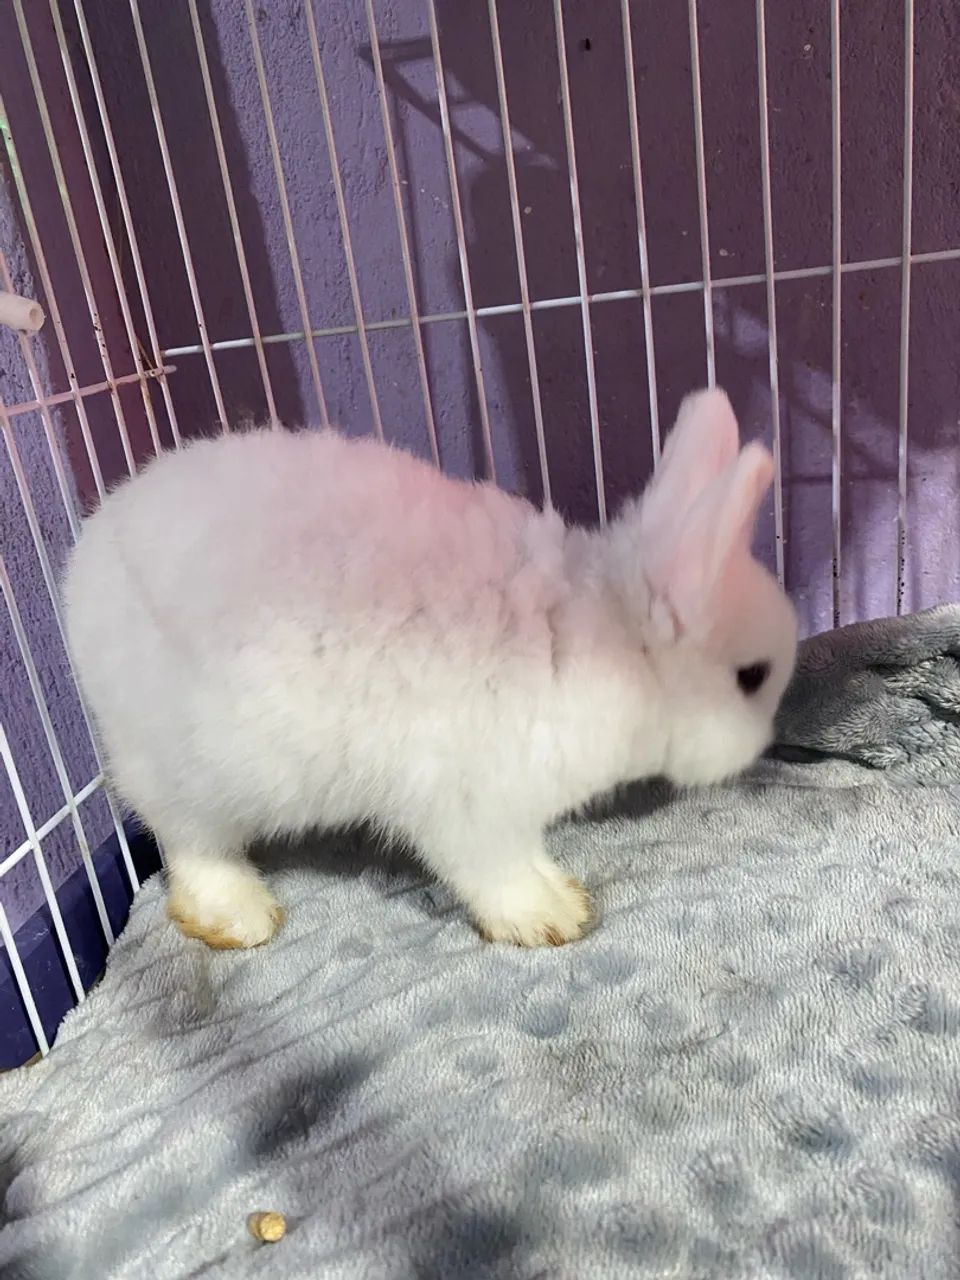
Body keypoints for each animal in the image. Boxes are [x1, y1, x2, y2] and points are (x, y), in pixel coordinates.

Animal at [63, 388, 797, 950]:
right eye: (751, 677)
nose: (762, 746)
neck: (603, 637)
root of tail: (82, 564)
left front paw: (561, 892)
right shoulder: (470, 804)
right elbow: (491, 870)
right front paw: (547, 920)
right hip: (192, 773)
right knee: (186, 840)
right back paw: (241, 917)